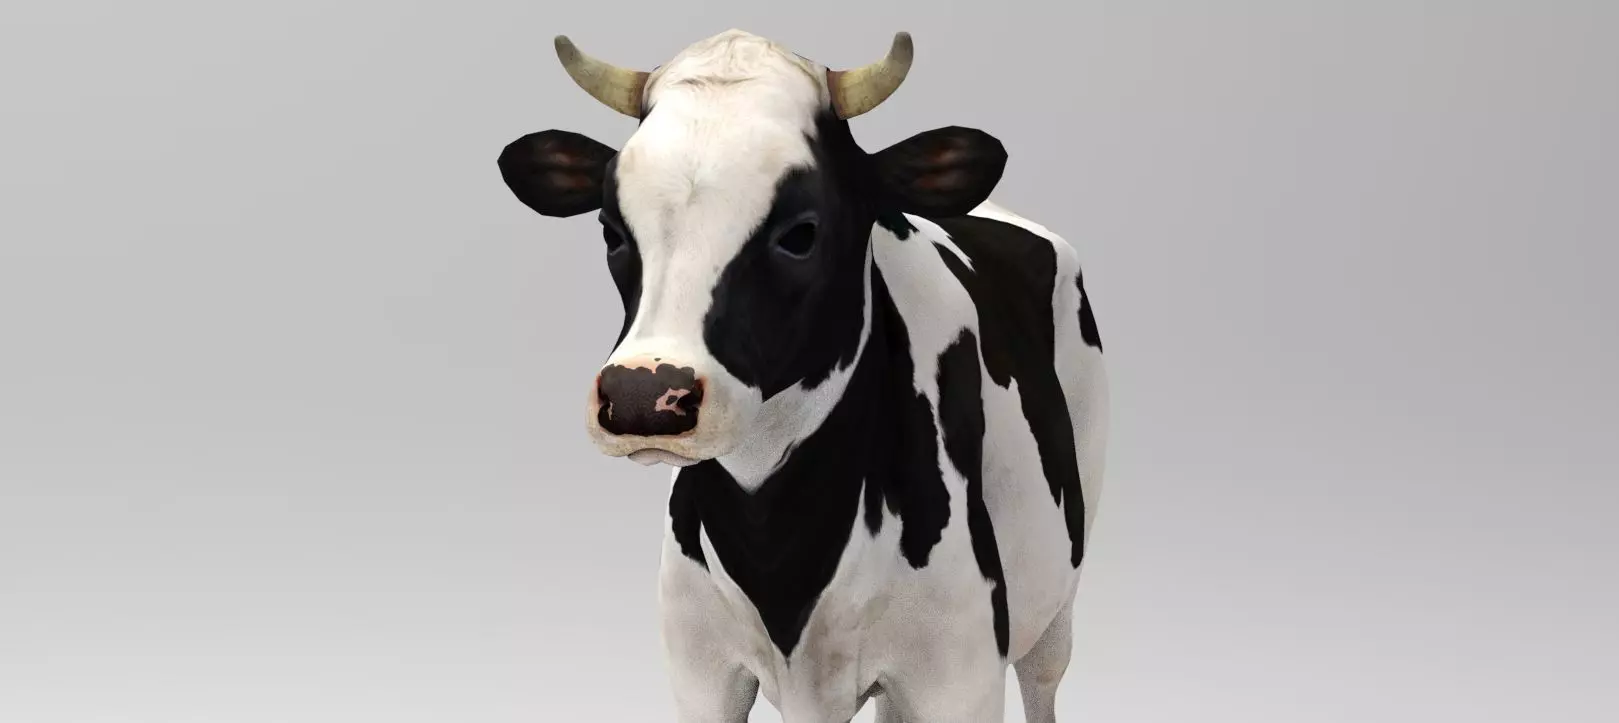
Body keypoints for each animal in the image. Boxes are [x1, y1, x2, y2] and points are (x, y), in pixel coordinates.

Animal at [496, 28, 1109, 723]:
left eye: (800, 234)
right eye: (610, 231)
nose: (642, 397)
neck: (776, 541)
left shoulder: (959, 672)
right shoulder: (699, 666)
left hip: (1060, 586)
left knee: (1044, 676)